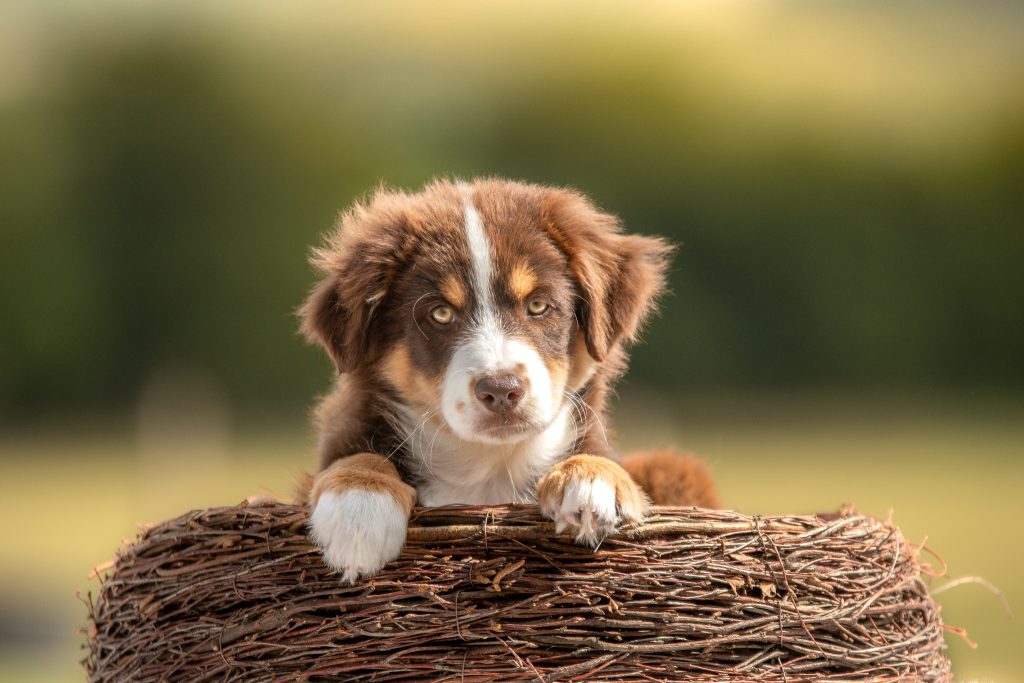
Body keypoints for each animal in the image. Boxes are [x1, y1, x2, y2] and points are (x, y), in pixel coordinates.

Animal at [299, 180, 716, 581]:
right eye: (440, 314)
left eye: (538, 305)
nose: (501, 391)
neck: (490, 469)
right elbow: (359, 457)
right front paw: (359, 509)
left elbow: (595, 455)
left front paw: (591, 480)